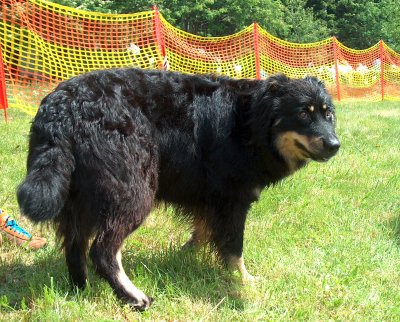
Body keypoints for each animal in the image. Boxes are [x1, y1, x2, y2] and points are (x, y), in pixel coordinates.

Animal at [17, 69, 340, 310]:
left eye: (328, 115)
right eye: (303, 113)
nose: (335, 145)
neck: (249, 120)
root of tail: (62, 107)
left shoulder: (209, 198)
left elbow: (203, 233)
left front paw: (188, 256)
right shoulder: (232, 199)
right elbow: (234, 248)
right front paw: (243, 281)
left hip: (77, 198)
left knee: (75, 248)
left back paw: (80, 291)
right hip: (134, 190)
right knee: (103, 251)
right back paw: (133, 297)